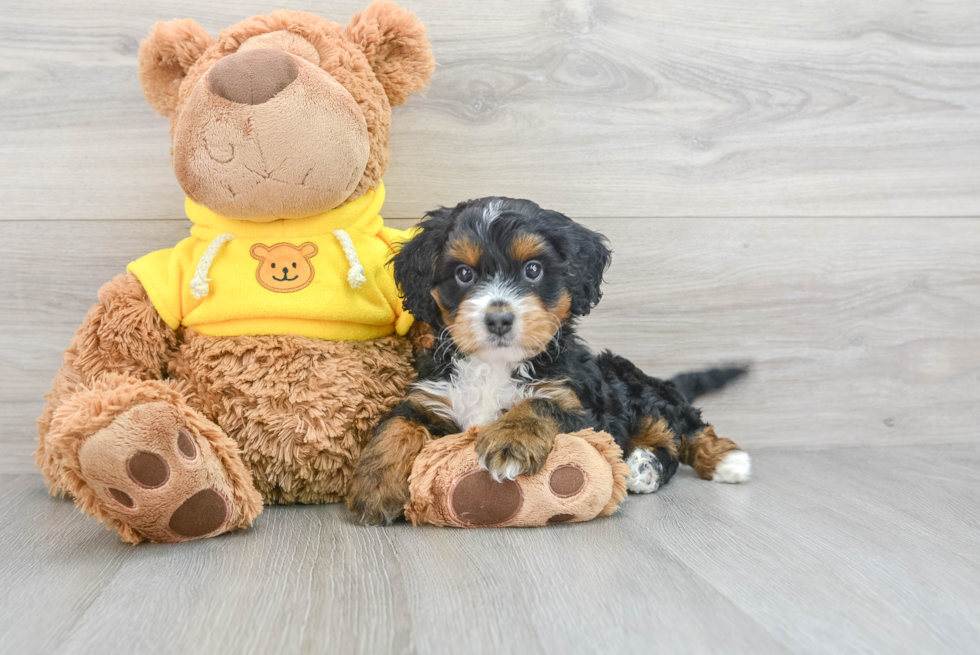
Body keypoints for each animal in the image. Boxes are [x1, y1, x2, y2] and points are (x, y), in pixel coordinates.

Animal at [346, 197, 752, 524]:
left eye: (533, 270)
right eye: (463, 274)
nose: (498, 319)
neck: (495, 365)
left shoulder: (579, 407)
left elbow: (539, 404)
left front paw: (510, 442)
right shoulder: (432, 397)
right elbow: (397, 426)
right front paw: (375, 487)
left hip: (633, 384)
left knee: (687, 426)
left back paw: (723, 461)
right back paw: (642, 466)